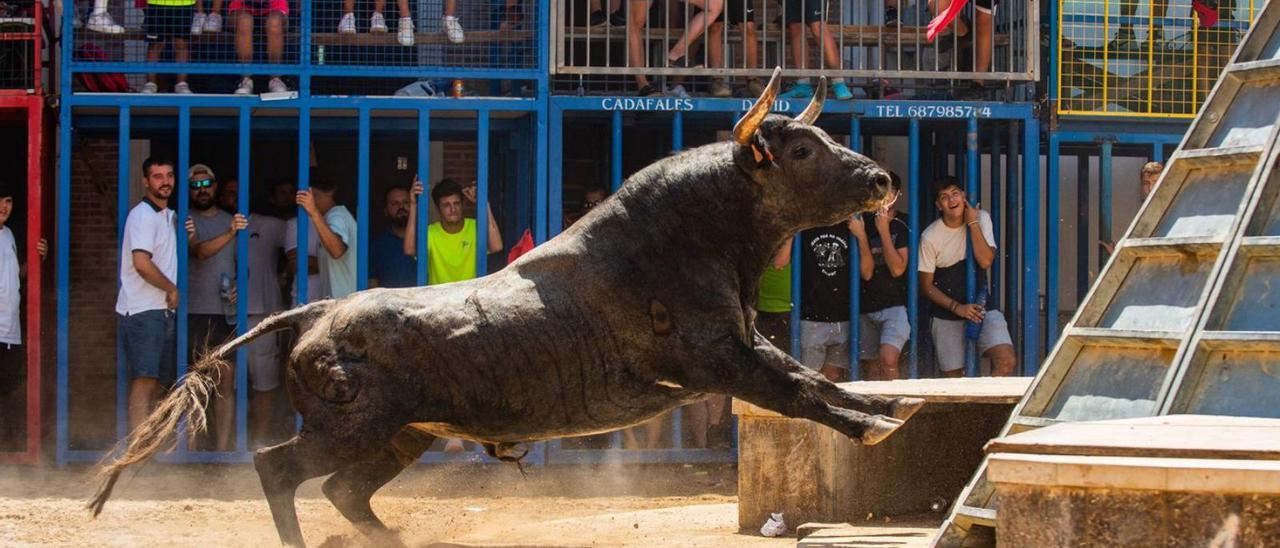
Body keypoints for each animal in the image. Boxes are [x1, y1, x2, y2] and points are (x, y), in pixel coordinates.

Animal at [92, 69, 921, 548]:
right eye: (804, 151)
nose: (882, 180)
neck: (692, 235)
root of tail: (317, 314)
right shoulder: (716, 358)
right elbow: (796, 392)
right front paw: (879, 428)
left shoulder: (744, 343)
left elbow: (812, 382)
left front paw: (894, 409)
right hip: (350, 426)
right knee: (278, 468)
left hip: (401, 435)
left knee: (341, 491)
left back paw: (388, 539)